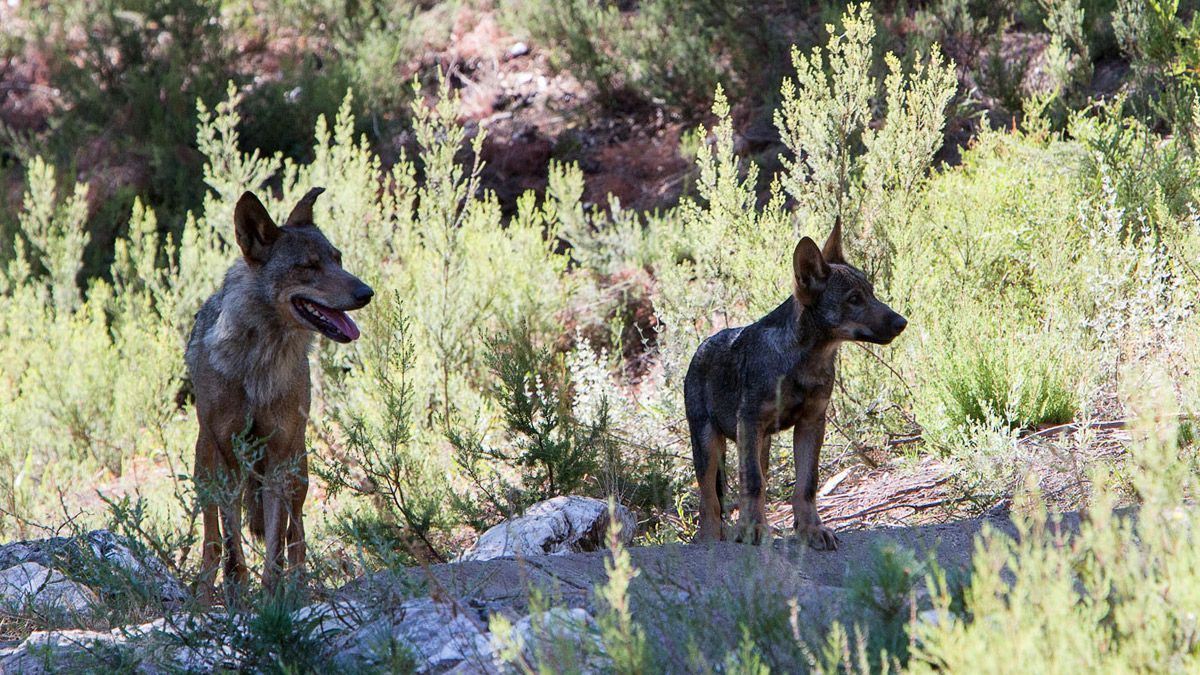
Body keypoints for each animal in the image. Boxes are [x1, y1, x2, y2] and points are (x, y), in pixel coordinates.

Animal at [187, 186, 372, 595]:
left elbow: (275, 546)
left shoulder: (276, 463)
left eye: (337, 259)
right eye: (308, 266)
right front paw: (238, 594)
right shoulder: (229, 461)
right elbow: (232, 546)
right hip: (205, 466)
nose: (367, 292)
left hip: (297, 467)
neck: (259, 363)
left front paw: (274, 598)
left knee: (296, 534)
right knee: (211, 538)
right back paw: (205, 591)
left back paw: (299, 584)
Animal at [686, 220, 902, 547]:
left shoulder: (811, 423)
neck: (803, 362)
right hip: (709, 446)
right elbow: (753, 484)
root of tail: (700, 348)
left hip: (760, 444)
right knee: (709, 502)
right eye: (853, 299)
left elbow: (806, 485)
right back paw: (712, 540)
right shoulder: (750, 422)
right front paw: (753, 530)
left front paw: (811, 529)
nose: (902, 322)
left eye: (872, 293)